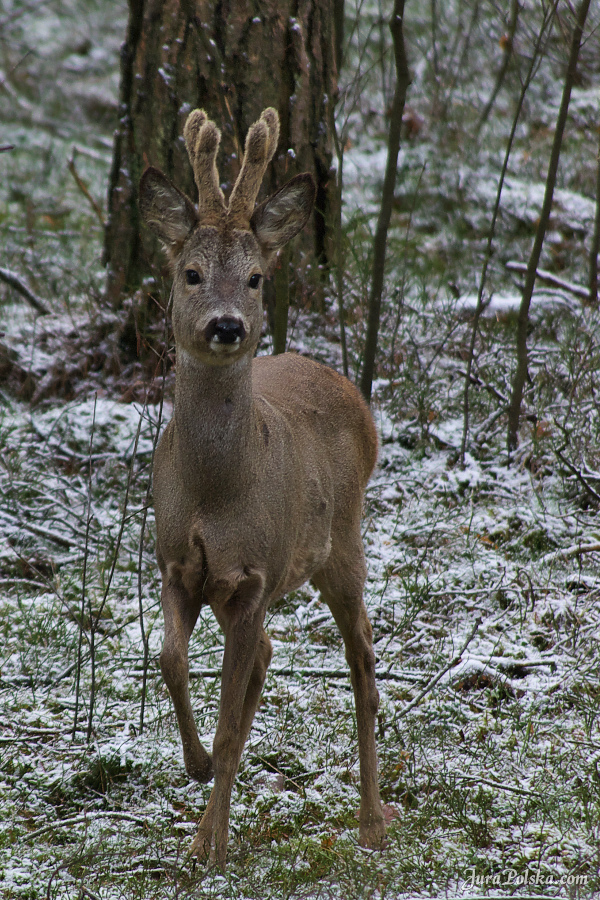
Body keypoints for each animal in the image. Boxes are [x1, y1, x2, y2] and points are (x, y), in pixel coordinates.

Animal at [138, 102, 386, 868]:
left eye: (253, 277)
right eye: (190, 272)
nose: (227, 325)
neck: (215, 493)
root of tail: (346, 385)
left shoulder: (250, 577)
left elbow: (227, 715)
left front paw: (210, 842)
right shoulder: (178, 563)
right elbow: (171, 661)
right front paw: (196, 775)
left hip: (343, 546)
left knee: (364, 664)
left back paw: (372, 822)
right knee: (272, 659)